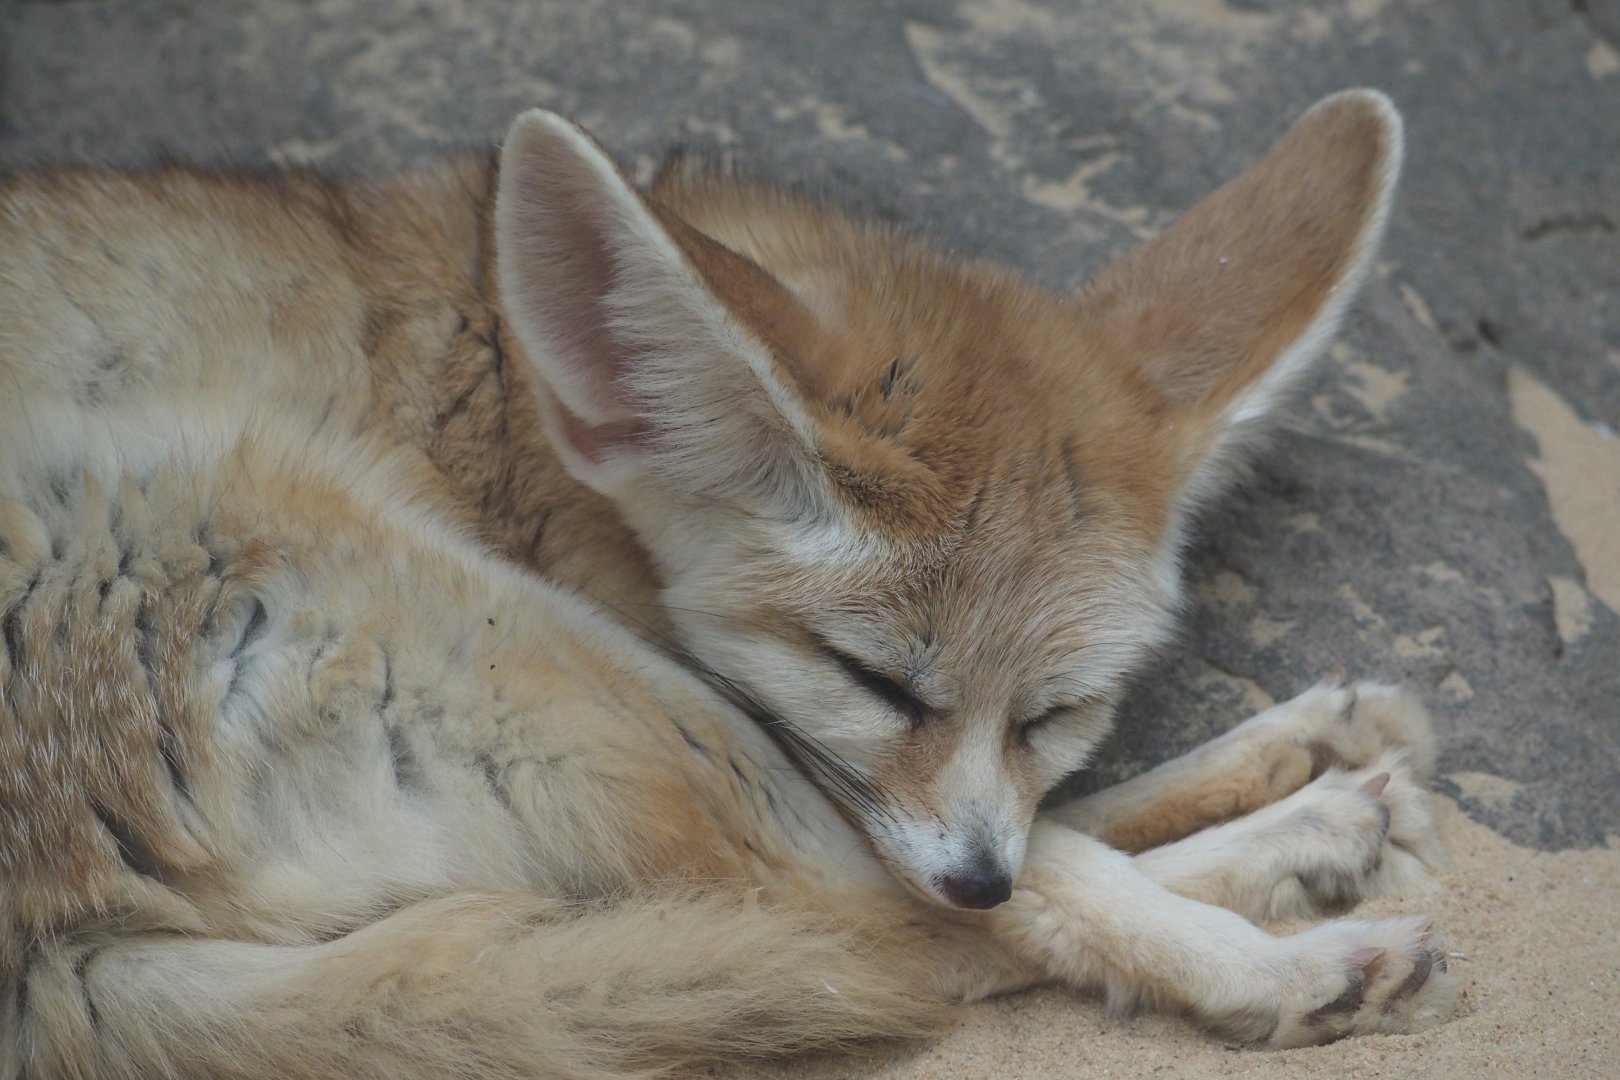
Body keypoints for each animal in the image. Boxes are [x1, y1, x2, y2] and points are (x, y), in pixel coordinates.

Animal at [0, 88, 1459, 1078]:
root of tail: (49, 971)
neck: (500, 386)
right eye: (873, 682)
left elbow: (1036, 825)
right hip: (522, 640)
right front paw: (1271, 912)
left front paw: (1294, 780)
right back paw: (1295, 944)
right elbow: (994, 873)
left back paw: (1312, 796)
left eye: (1058, 712)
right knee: (874, 919)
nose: (975, 875)